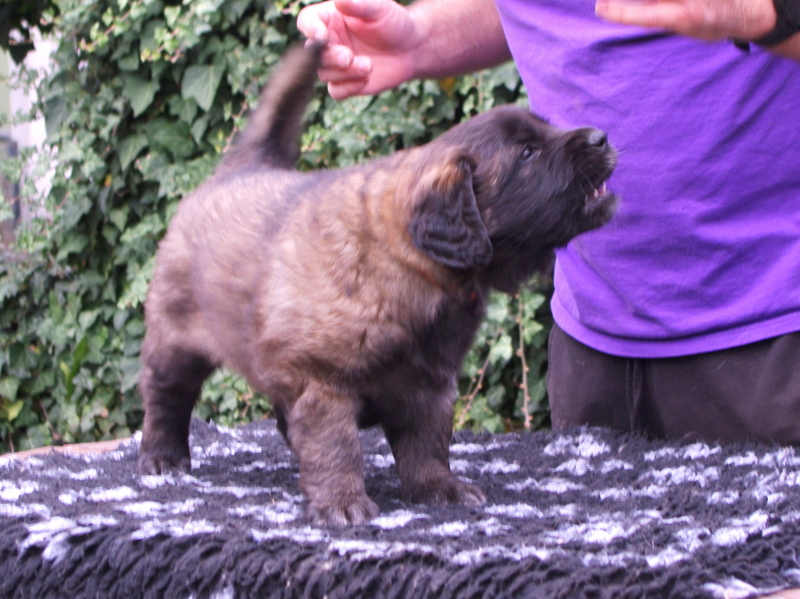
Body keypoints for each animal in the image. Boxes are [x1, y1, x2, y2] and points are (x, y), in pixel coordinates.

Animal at [137, 43, 617, 527]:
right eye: (527, 153)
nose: (601, 137)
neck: (412, 266)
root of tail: (241, 168)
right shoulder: (322, 379)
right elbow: (335, 445)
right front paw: (341, 501)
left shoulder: (428, 382)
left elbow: (427, 443)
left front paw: (439, 488)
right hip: (176, 337)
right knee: (166, 395)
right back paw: (163, 456)